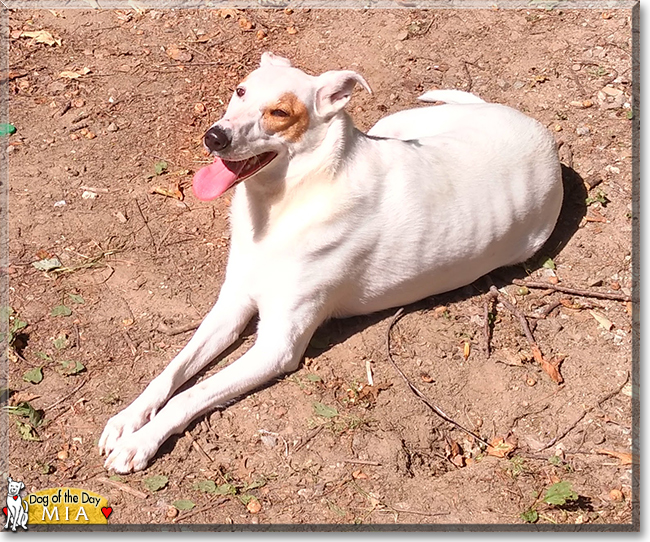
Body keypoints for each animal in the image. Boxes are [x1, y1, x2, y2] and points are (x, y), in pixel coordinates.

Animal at [98, 53, 560, 474]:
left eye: (280, 113)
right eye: (241, 91)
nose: (214, 137)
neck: (289, 202)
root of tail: (532, 127)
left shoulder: (277, 347)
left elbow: (190, 394)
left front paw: (141, 443)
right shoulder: (231, 307)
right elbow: (171, 371)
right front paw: (129, 419)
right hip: (394, 127)